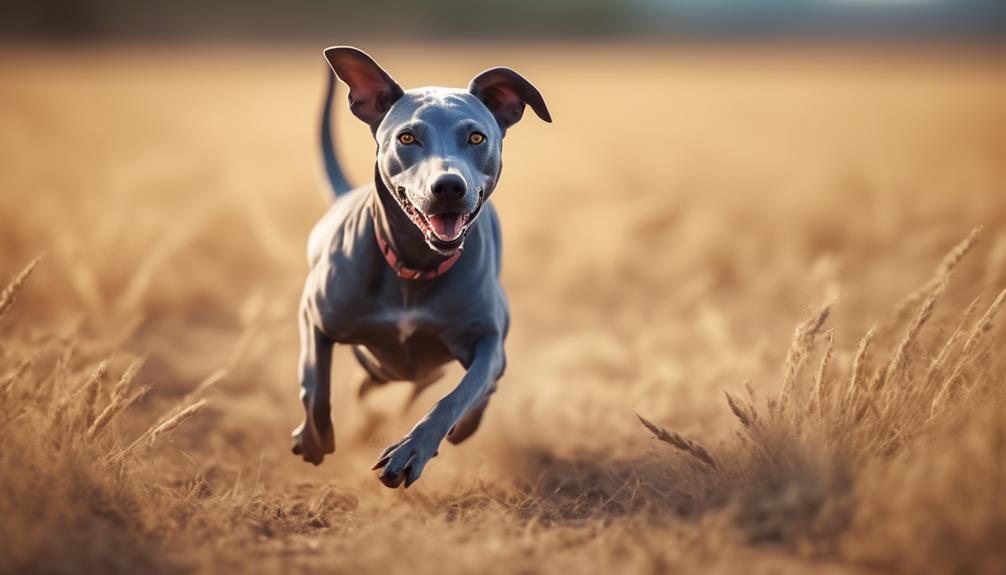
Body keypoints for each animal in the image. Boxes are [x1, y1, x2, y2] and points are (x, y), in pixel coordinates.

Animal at [291, 47, 551, 486]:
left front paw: (414, 448)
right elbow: (315, 381)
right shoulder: (314, 314)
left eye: (476, 137)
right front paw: (313, 438)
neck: (416, 265)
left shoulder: (488, 341)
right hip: (375, 361)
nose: (448, 187)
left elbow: (459, 395)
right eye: (407, 137)